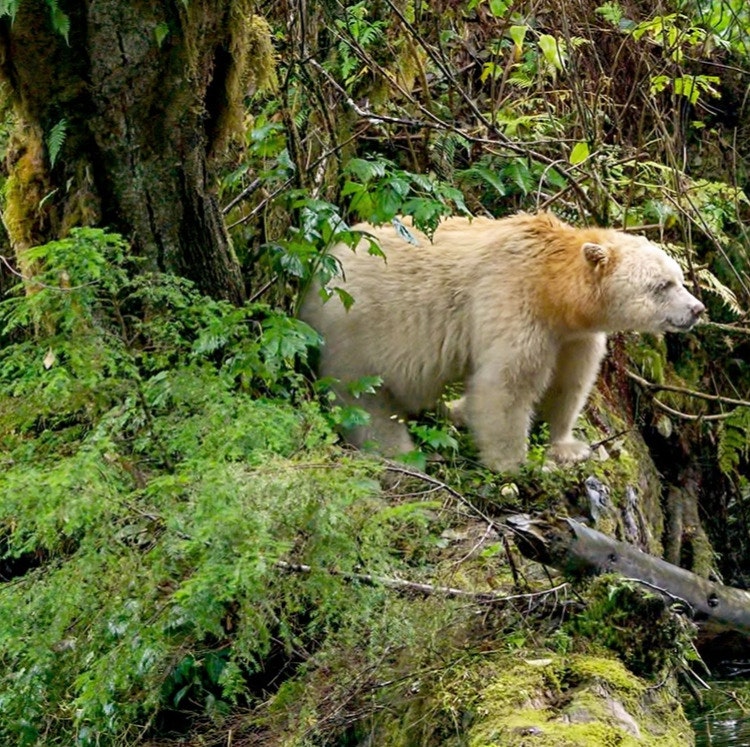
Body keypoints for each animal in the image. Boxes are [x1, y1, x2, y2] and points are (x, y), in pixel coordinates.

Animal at [300, 212, 705, 472]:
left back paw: (450, 411)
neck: (554, 288)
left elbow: (568, 384)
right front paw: (514, 464)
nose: (697, 309)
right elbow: (506, 385)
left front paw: (568, 447)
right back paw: (401, 450)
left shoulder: (573, 337)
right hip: (358, 325)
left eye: (679, 278)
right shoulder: (512, 300)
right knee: (362, 396)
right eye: (662, 285)